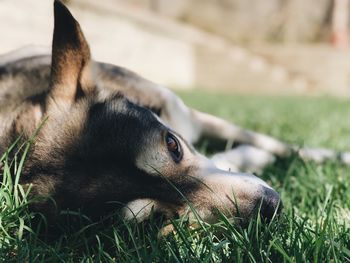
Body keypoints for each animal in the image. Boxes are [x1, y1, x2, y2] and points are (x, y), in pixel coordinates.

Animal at [6, 0, 340, 229]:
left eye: (172, 144)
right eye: (158, 217)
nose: (270, 207)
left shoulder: (188, 115)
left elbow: (281, 145)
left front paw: (334, 156)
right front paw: (251, 158)